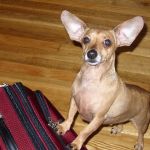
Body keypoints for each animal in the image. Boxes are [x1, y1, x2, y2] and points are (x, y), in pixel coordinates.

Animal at [56, 9, 150, 149]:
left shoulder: (98, 119)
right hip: (121, 116)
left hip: (141, 122)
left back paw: (139, 143)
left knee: (140, 134)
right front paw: (64, 127)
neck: (91, 79)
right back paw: (118, 127)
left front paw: (76, 143)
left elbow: (85, 131)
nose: (91, 53)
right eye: (86, 39)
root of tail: (146, 93)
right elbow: (70, 117)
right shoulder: (74, 101)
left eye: (107, 42)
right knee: (121, 121)